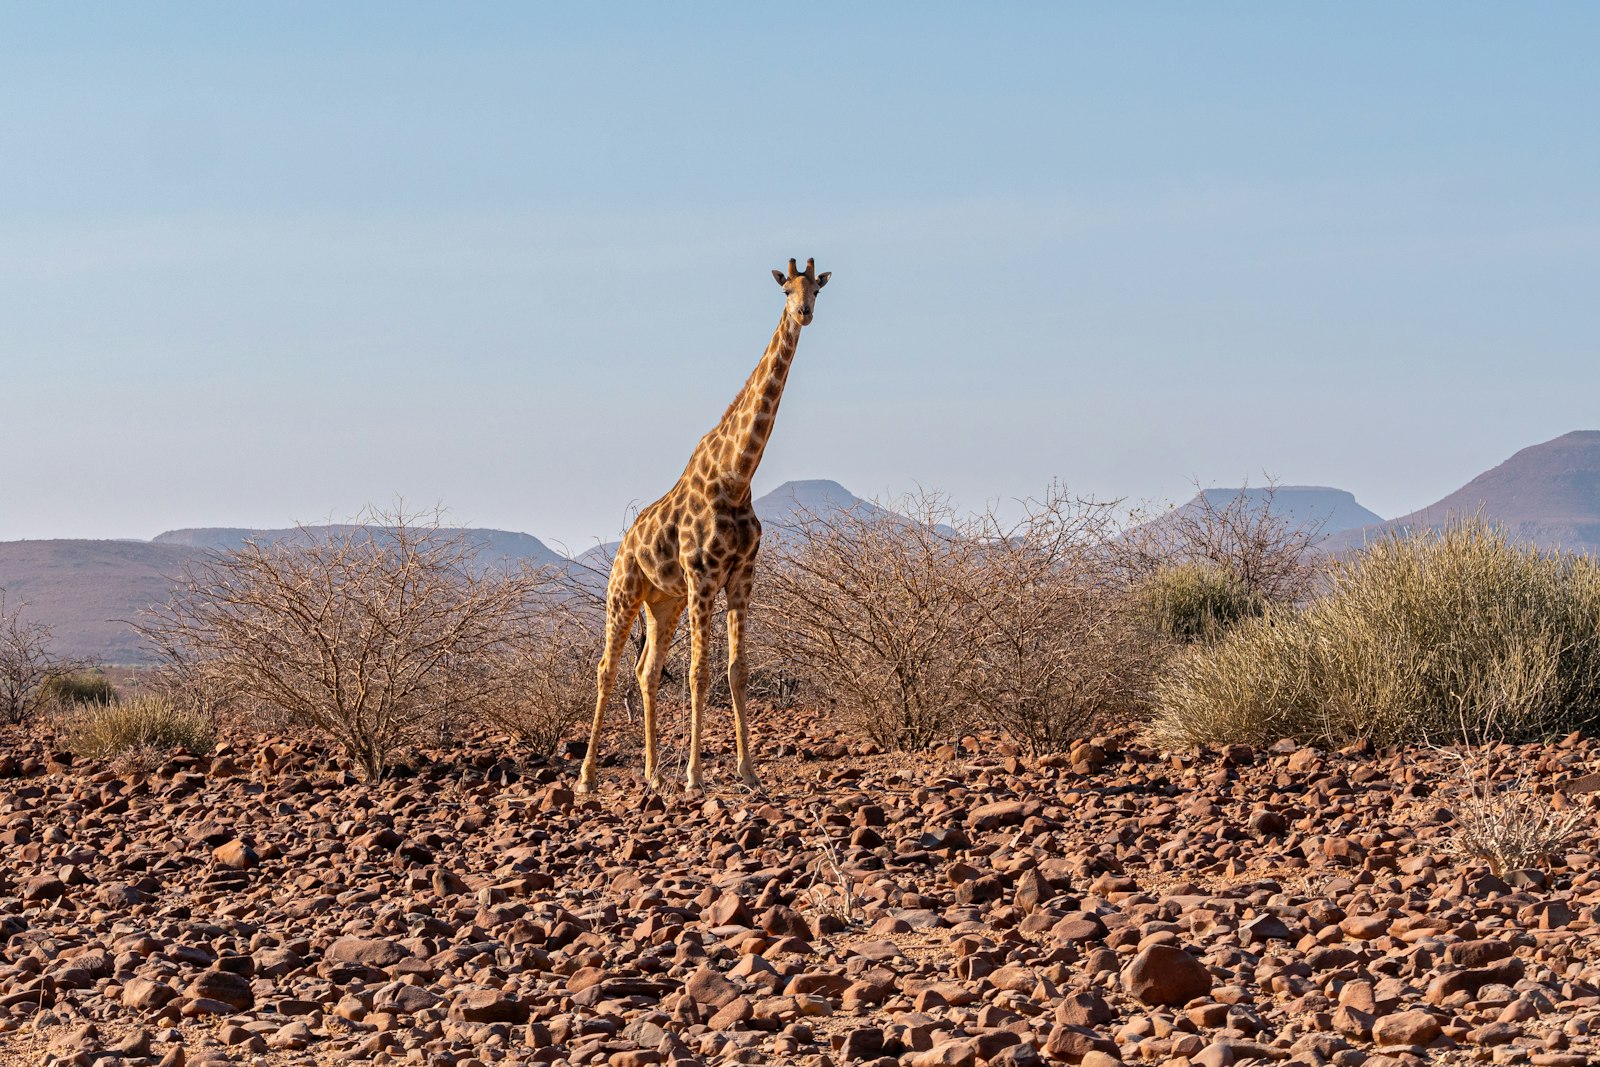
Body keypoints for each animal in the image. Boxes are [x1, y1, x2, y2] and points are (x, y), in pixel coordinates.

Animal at [576, 257, 831, 794]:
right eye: (786, 289)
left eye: (817, 289)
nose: (804, 313)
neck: (736, 476)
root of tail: (625, 543)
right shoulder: (703, 577)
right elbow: (699, 673)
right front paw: (695, 776)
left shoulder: (741, 576)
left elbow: (736, 671)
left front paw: (749, 772)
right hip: (624, 592)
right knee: (607, 668)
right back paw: (587, 778)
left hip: (663, 603)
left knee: (646, 670)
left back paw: (653, 773)